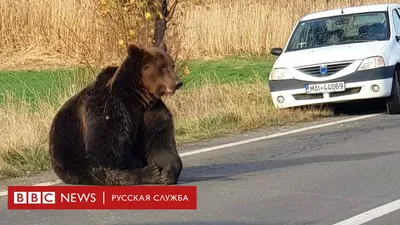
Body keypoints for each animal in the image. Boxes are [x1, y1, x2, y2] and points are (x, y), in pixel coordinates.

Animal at [48, 44, 184, 185]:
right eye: (162, 66)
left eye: (172, 65)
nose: (177, 83)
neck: (138, 97)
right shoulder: (108, 108)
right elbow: (106, 147)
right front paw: (152, 170)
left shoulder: (151, 113)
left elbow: (159, 142)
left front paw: (167, 174)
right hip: (69, 153)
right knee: (103, 171)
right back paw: (149, 172)